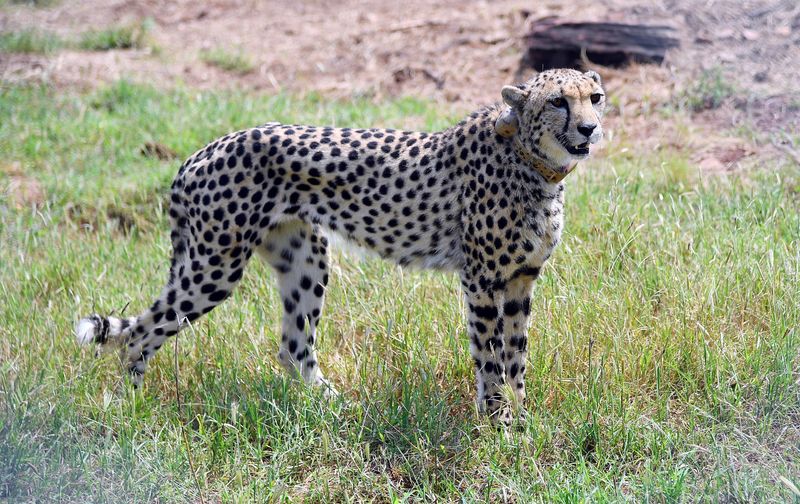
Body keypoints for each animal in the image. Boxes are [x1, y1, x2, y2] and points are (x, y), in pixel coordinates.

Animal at [78, 67, 608, 422]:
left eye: (595, 97)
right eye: (558, 102)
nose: (589, 128)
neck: (533, 162)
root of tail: (202, 151)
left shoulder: (521, 278)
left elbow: (517, 353)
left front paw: (522, 419)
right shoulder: (481, 279)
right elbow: (490, 354)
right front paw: (496, 419)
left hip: (304, 258)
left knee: (293, 345)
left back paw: (333, 406)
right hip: (215, 266)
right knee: (141, 332)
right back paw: (132, 407)